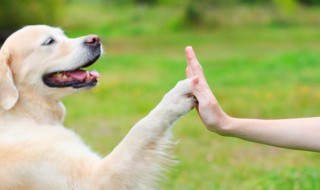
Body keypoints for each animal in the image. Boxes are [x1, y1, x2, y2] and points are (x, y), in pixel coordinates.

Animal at [0, 25, 195, 190]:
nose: (95, 39)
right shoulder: (93, 179)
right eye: (49, 41)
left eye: (63, 34)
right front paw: (177, 96)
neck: (25, 114)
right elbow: (141, 128)